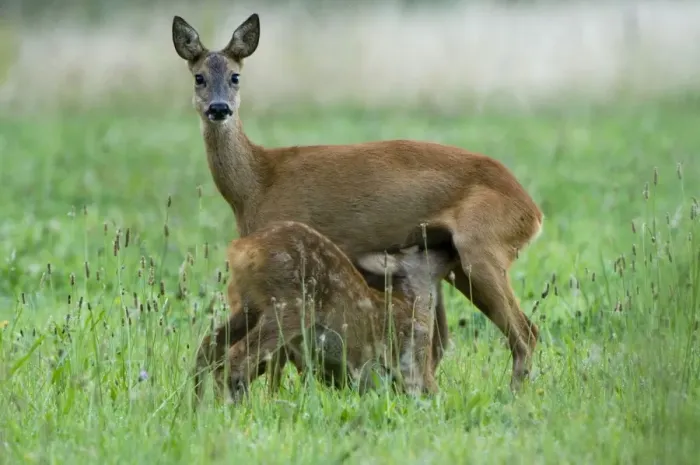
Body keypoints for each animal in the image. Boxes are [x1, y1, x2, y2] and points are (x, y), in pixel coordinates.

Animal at [215, 221, 459, 403]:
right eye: (421, 248)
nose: (449, 243)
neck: (415, 306)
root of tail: (241, 248)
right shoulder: (412, 356)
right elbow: (431, 393)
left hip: (249, 307)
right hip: (288, 307)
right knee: (237, 357)